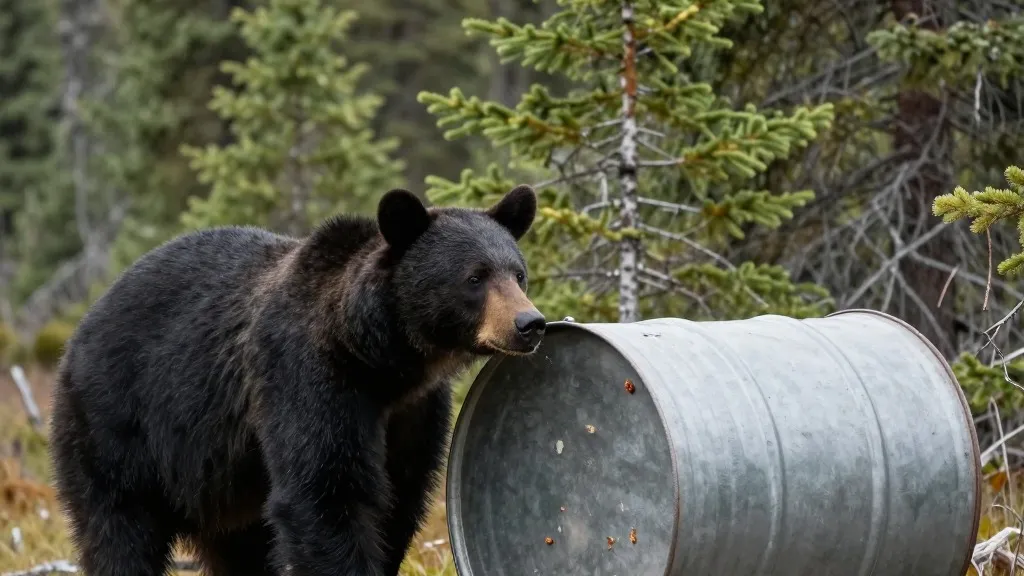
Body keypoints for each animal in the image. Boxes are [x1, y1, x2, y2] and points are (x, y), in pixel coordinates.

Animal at [48, 185, 547, 576]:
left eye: (518, 273)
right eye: (475, 277)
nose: (530, 323)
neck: (384, 359)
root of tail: (79, 330)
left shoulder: (414, 412)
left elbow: (399, 498)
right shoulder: (309, 378)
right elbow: (326, 492)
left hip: (222, 486)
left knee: (241, 549)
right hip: (118, 425)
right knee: (119, 528)